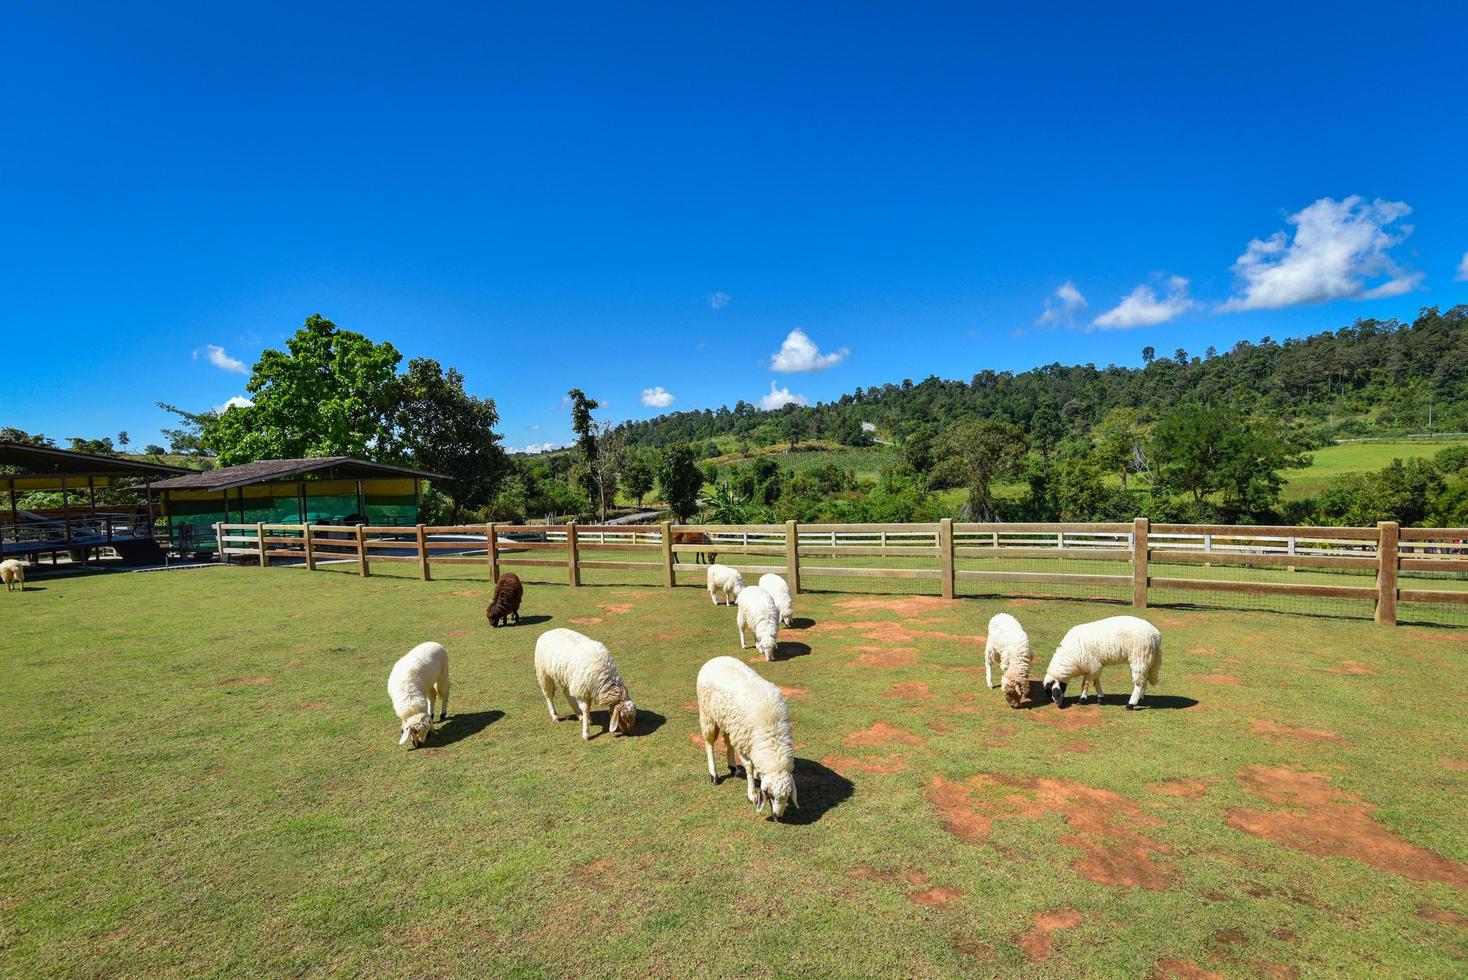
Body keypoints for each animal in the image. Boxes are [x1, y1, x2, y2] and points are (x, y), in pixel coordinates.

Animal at [695, 657, 798, 821]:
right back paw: (714, 775)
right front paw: (752, 794)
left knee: (728, 741)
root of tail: (714, 659)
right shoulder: (744, 743)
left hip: (728, 722)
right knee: (709, 743)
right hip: (707, 715)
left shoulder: (749, 741)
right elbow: (749, 767)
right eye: (770, 796)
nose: (778, 817)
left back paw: (732, 767)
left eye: (787, 797)